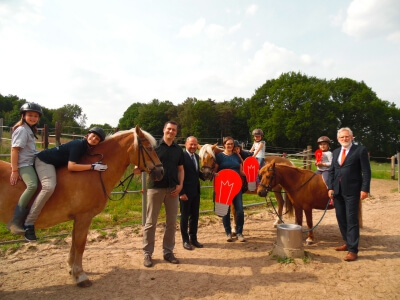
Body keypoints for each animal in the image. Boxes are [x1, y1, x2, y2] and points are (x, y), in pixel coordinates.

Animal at [0, 125, 164, 288]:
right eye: (149, 148)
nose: (161, 172)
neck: (92, 174)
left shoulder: (78, 219)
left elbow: (74, 243)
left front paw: (71, 270)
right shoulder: (84, 217)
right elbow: (80, 244)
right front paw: (80, 276)